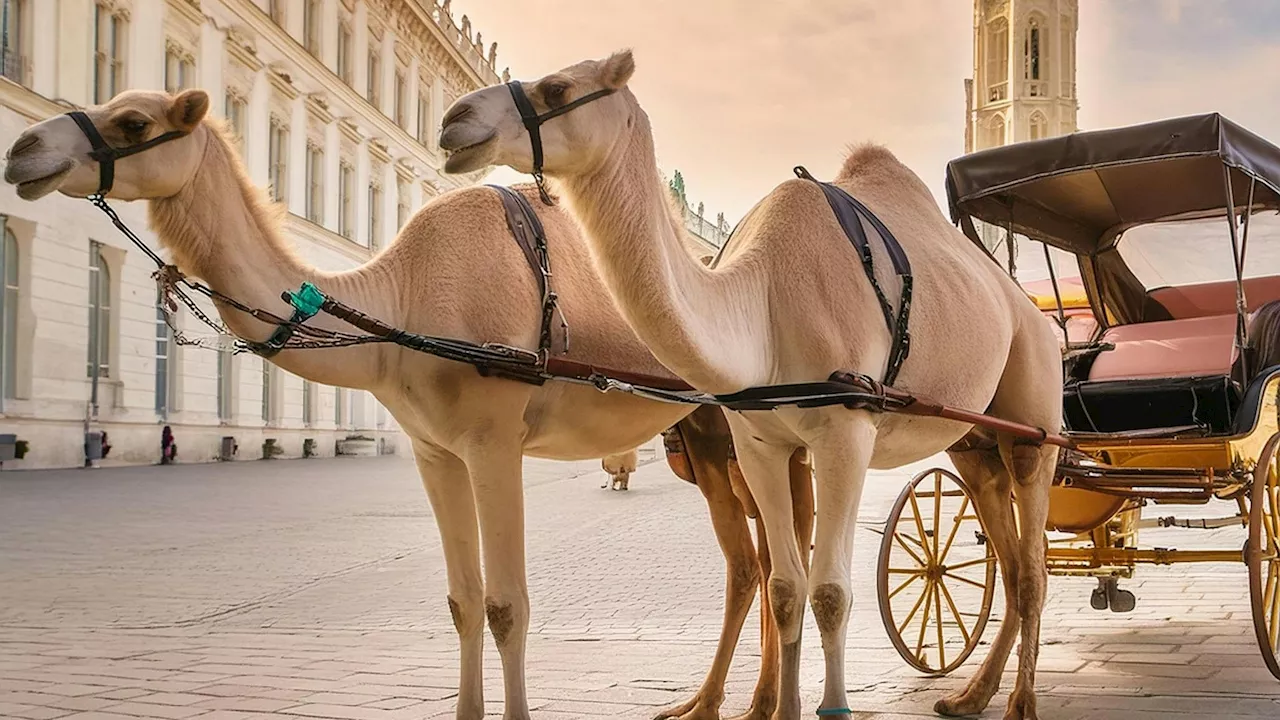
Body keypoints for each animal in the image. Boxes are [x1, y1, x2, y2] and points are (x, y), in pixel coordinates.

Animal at [0, 88, 814, 717]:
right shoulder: (434, 450)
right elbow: (462, 599)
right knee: (753, 561)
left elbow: (507, 603)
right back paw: (721, 703)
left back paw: (753, 701)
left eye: (134, 120)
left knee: (782, 552)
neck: (398, 304)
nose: (24, 151)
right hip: (705, 437)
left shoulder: (494, 443)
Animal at [445, 51, 1064, 717]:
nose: (455, 120)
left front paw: (830, 705)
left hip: (1035, 422)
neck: (761, 303)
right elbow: (786, 585)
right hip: (973, 440)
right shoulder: (757, 443)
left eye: (557, 88)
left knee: (1032, 564)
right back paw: (972, 695)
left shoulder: (845, 434)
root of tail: (1034, 313)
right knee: (1006, 553)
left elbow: (830, 591)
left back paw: (1021, 702)